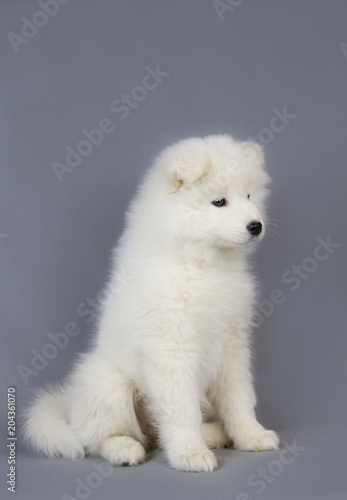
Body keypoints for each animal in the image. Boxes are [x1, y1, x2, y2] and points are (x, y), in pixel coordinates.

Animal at [23, 135, 280, 470]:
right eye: (219, 202)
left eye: (249, 195)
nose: (256, 226)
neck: (200, 263)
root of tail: (69, 406)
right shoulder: (172, 347)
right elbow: (182, 408)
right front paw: (190, 454)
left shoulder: (233, 344)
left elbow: (240, 398)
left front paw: (252, 436)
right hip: (108, 382)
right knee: (99, 436)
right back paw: (125, 449)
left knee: (156, 433)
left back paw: (213, 434)